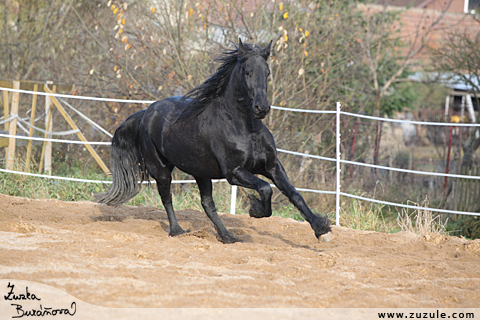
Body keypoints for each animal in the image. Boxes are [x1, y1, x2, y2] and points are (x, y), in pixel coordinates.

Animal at [97, 39, 330, 242]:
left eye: (267, 72)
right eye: (248, 71)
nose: (261, 108)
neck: (247, 129)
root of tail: (146, 113)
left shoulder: (272, 166)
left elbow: (294, 194)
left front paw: (321, 229)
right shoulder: (234, 172)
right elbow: (265, 188)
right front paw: (255, 210)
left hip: (201, 172)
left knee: (207, 204)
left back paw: (228, 237)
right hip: (161, 170)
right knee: (167, 198)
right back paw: (177, 231)